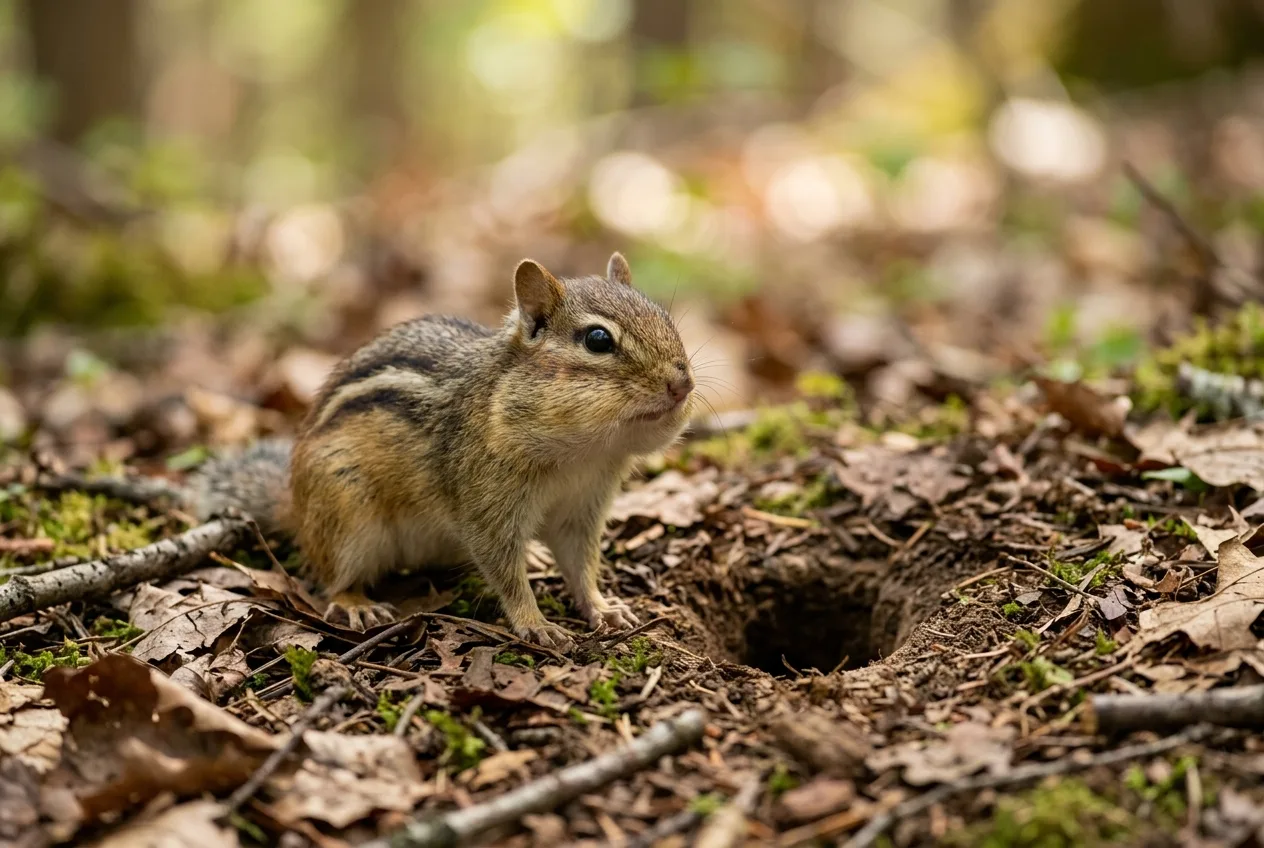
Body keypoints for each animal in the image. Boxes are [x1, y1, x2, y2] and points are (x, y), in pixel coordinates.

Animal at [185, 253, 694, 649]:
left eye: (667, 320)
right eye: (598, 340)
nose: (683, 384)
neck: (581, 456)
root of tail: (296, 505)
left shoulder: (582, 508)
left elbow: (582, 567)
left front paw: (604, 608)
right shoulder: (486, 504)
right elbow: (504, 571)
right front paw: (536, 624)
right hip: (347, 515)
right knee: (332, 578)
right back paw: (357, 604)